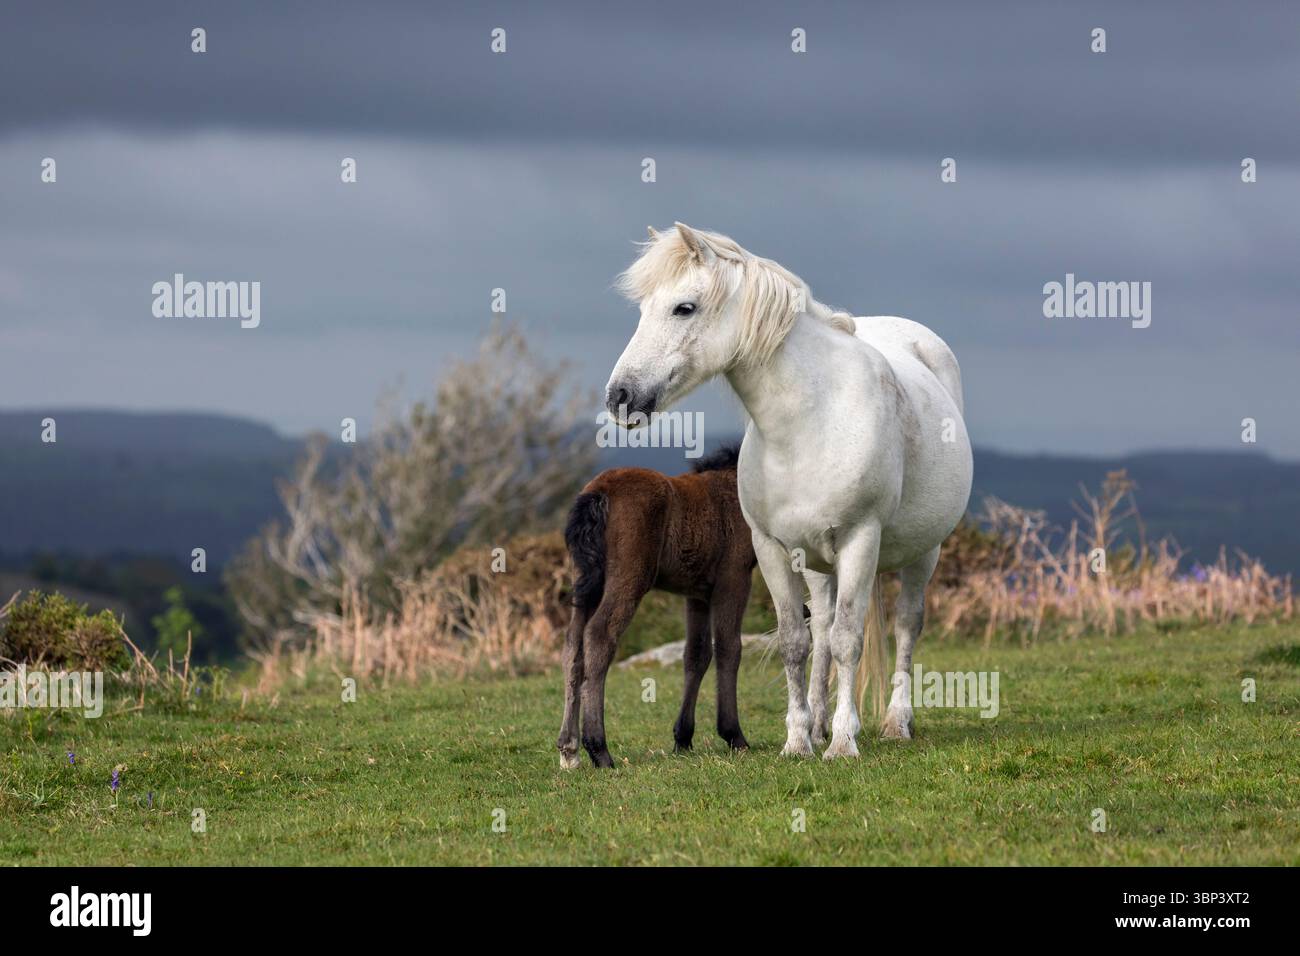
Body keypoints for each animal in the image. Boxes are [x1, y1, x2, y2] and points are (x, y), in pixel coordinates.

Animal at [557, 446, 758, 769]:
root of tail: (599, 492)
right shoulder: (734, 578)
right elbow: (729, 648)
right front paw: (734, 736)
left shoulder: (698, 593)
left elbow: (696, 655)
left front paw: (683, 738)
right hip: (629, 578)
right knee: (599, 636)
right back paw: (599, 750)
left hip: (586, 583)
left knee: (573, 645)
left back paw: (569, 749)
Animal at [605, 223, 973, 759]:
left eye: (684, 308)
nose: (619, 397)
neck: (809, 421)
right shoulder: (773, 549)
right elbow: (797, 643)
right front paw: (799, 740)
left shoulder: (860, 540)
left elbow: (848, 640)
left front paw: (843, 744)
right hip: (818, 564)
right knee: (820, 626)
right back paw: (820, 722)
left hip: (924, 552)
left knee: (906, 625)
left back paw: (894, 723)